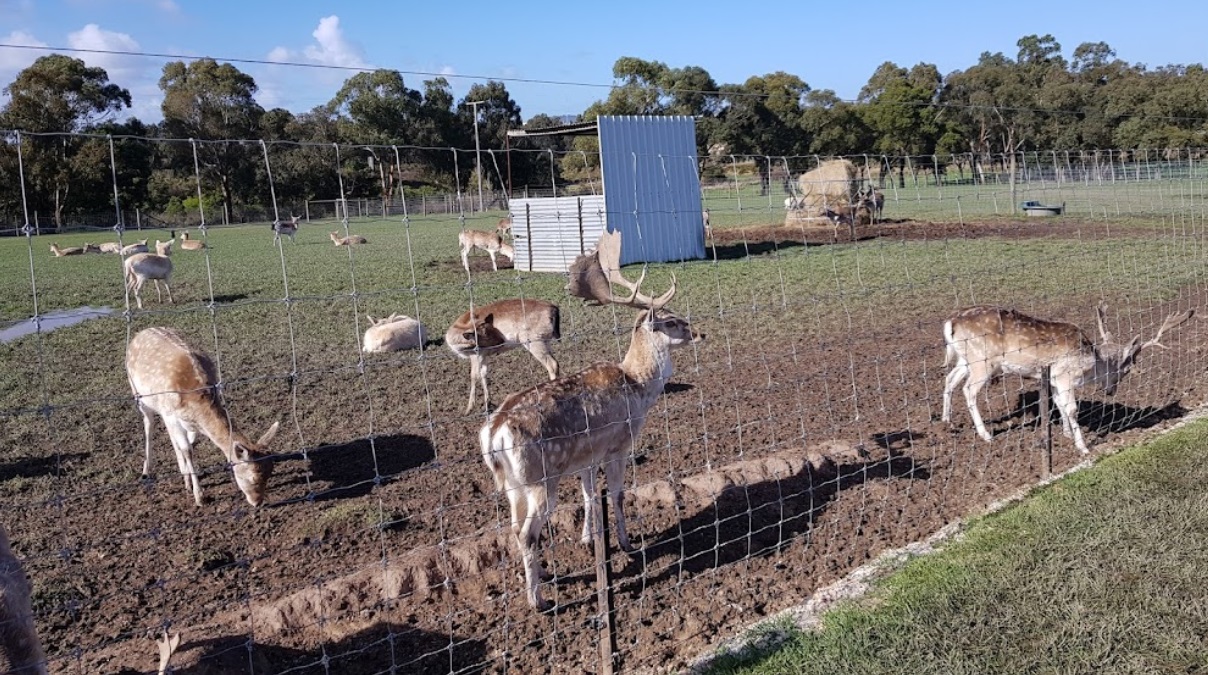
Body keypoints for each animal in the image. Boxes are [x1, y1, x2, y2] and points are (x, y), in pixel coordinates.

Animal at [126, 328, 279, 507]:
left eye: (270, 473)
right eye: (253, 478)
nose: (258, 502)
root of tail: (140, 333)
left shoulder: (188, 422)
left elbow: (190, 444)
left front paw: (187, 480)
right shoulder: (170, 414)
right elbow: (187, 449)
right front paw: (199, 496)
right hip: (138, 394)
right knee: (148, 424)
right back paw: (146, 471)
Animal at [478, 228, 705, 613]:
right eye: (672, 321)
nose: (699, 332)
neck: (638, 386)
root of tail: (495, 432)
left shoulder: (586, 456)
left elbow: (588, 495)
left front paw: (589, 540)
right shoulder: (619, 444)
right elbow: (616, 494)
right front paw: (628, 544)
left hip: (511, 481)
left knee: (512, 526)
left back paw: (538, 576)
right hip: (540, 477)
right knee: (526, 532)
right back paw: (538, 600)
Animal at [942, 305, 1188, 454]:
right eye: (1126, 370)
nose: (1111, 391)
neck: (1090, 363)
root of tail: (950, 323)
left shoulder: (1053, 379)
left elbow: (1059, 404)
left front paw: (1067, 433)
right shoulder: (1064, 375)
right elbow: (1071, 408)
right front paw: (1083, 447)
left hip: (966, 359)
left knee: (949, 379)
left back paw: (947, 422)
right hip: (982, 361)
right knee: (968, 390)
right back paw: (985, 435)